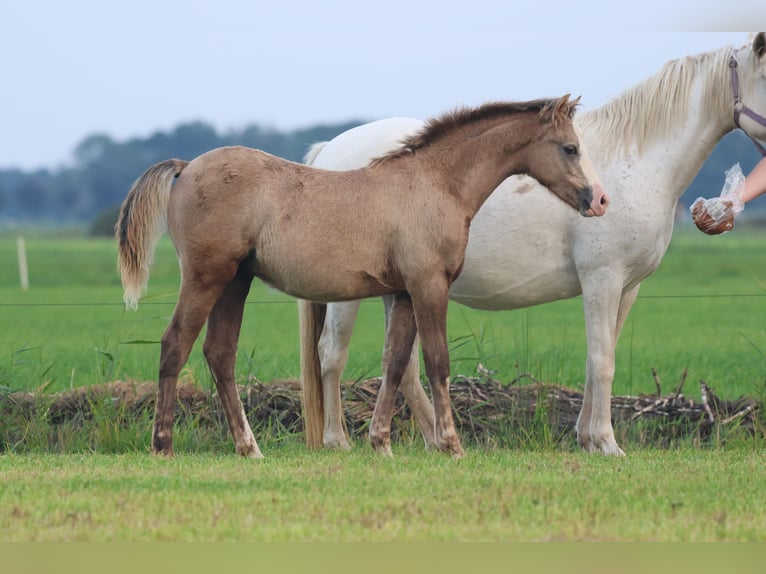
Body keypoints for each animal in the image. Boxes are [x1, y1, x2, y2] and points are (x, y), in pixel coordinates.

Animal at [298, 32, 766, 460]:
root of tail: (329, 151)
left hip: (400, 289)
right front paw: (606, 442)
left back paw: (432, 439)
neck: (639, 161)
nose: (598, 201)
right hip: (351, 292)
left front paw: (587, 438)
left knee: (403, 366)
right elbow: (603, 361)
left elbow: (598, 359)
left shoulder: (627, 287)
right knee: (332, 354)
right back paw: (339, 440)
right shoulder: (602, 279)